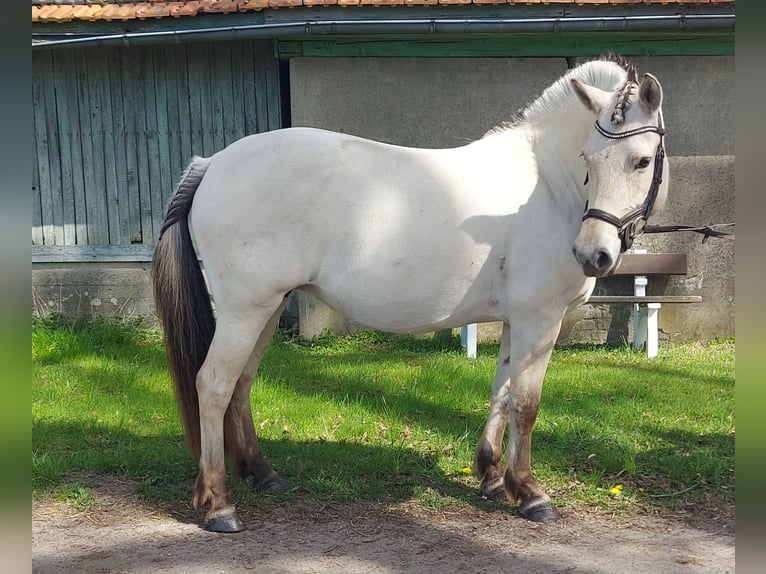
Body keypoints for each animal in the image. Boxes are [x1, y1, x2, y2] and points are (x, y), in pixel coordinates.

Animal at [151, 54, 669, 532]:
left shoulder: (514, 320)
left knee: (241, 384)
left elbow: (501, 393)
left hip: (267, 309)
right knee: (213, 385)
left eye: (641, 161)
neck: (546, 185)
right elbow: (526, 405)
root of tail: (211, 164)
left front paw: (491, 476)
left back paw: (262, 473)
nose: (592, 254)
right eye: (588, 160)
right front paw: (529, 493)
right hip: (244, 311)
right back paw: (218, 504)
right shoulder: (539, 320)